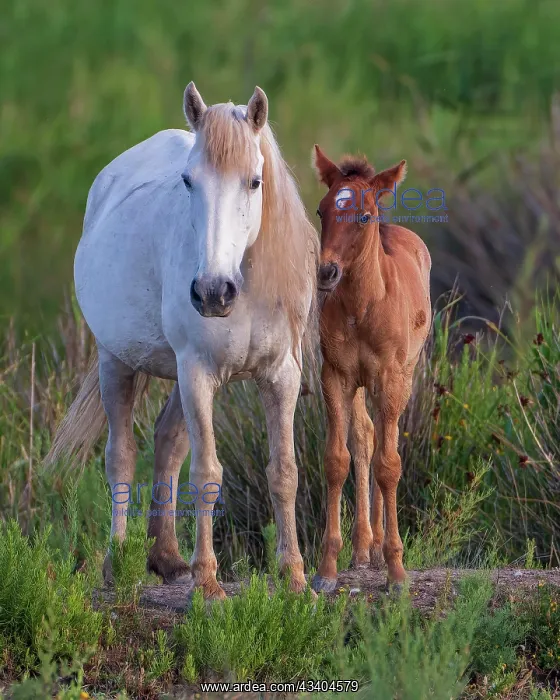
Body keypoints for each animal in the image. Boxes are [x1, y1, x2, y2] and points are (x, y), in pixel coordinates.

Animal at [45, 83, 319, 601]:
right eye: (189, 182)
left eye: (255, 182)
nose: (212, 292)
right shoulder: (198, 373)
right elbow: (207, 473)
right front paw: (208, 584)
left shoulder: (281, 377)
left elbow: (284, 472)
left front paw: (295, 579)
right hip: (117, 362)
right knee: (121, 455)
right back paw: (117, 562)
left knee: (167, 442)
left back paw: (167, 558)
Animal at [310, 145, 431, 592]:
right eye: (321, 210)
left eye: (363, 216)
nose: (326, 271)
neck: (363, 309)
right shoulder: (335, 376)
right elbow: (337, 459)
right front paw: (327, 569)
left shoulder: (391, 378)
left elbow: (389, 464)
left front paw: (397, 569)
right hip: (362, 385)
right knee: (365, 436)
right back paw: (364, 547)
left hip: (402, 377)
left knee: (381, 440)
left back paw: (379, 549)